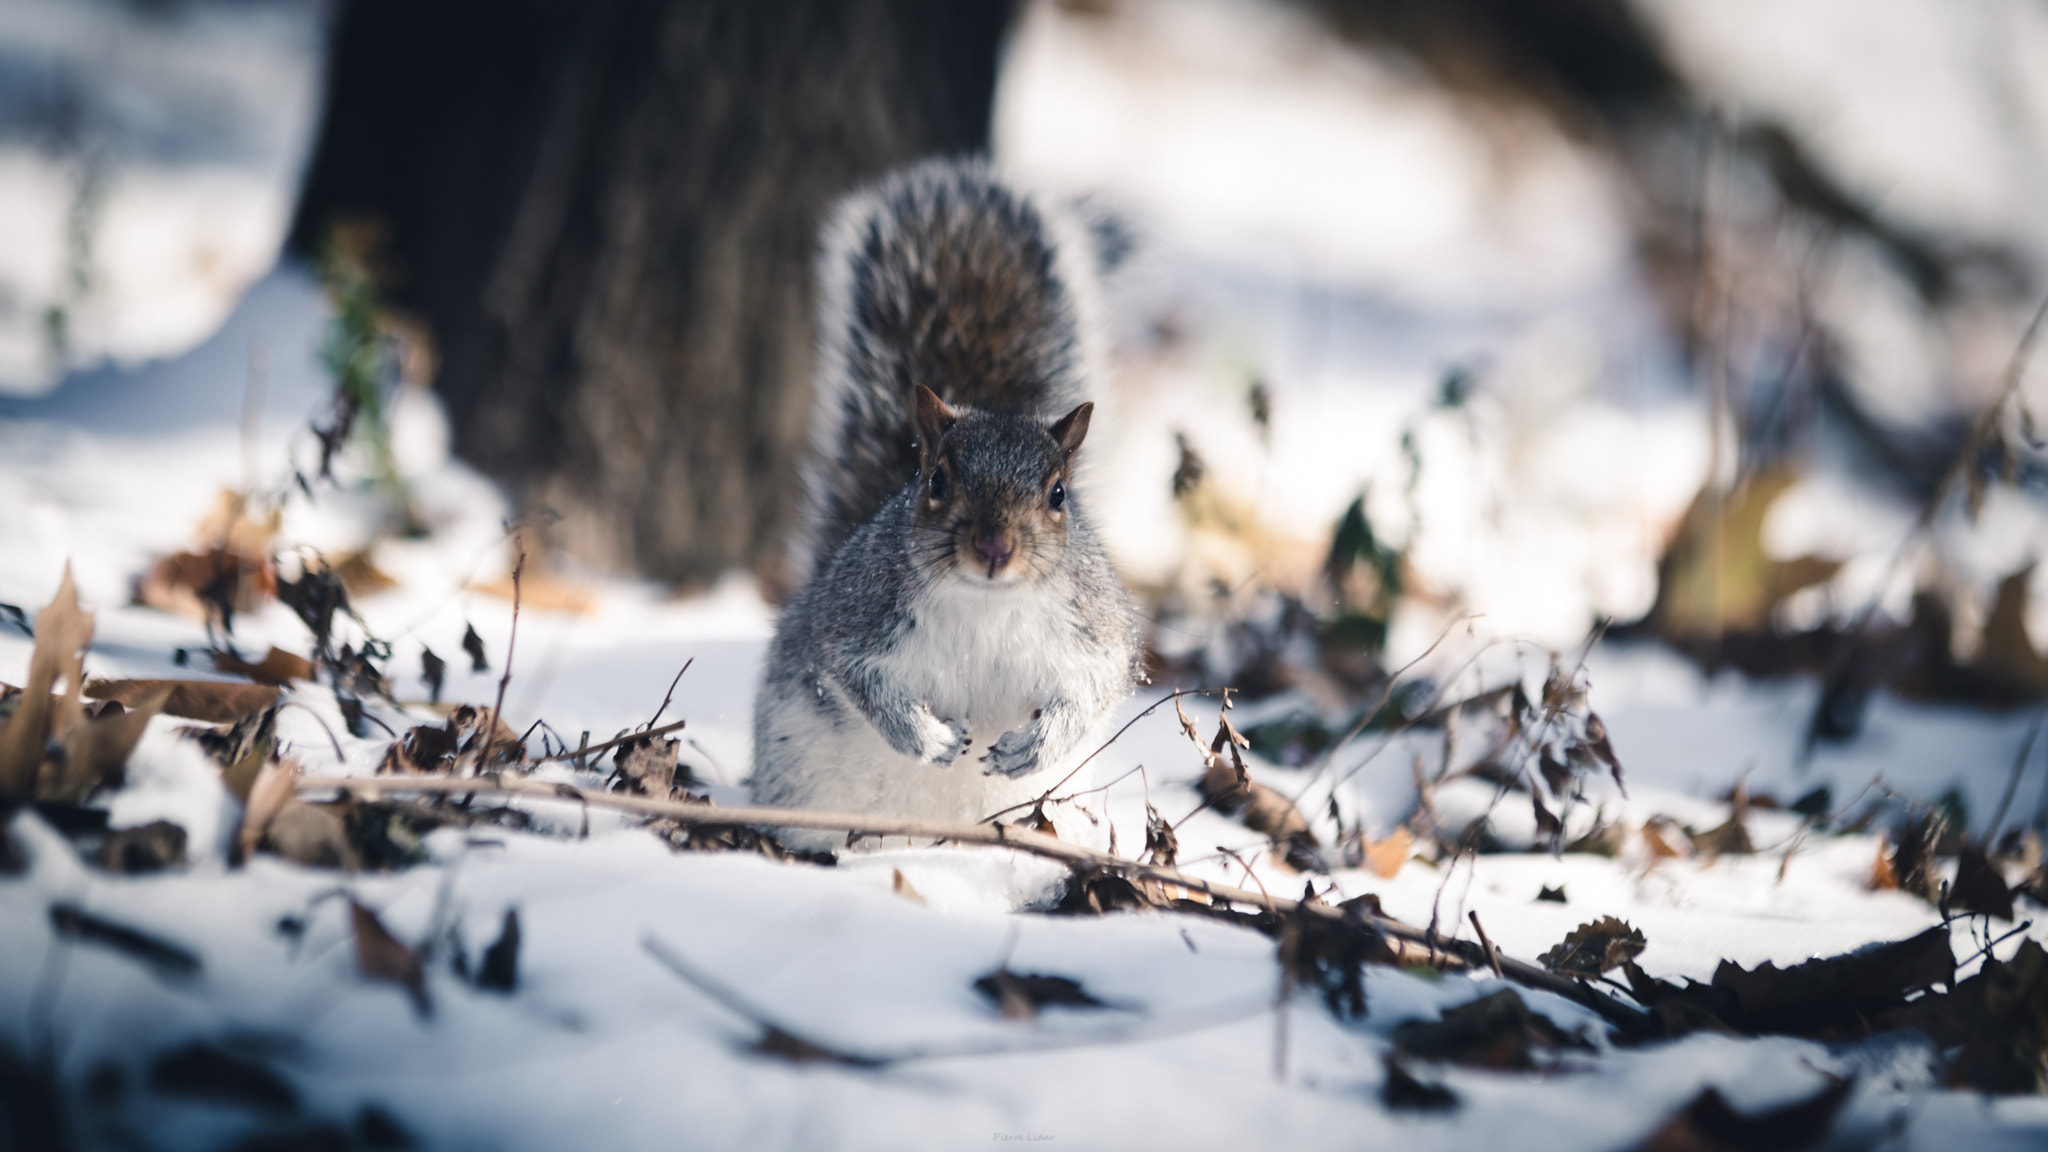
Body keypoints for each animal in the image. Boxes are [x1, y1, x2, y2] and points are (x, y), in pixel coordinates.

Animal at [750, 159, 1142, 852]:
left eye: (1058, 493)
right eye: (936, 480)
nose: (994, 548)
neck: (986, 604)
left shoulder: (1095, 626)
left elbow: (1094, 685)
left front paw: (1032, 745)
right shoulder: (856, 614)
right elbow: (858, 680)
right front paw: (927, 739)